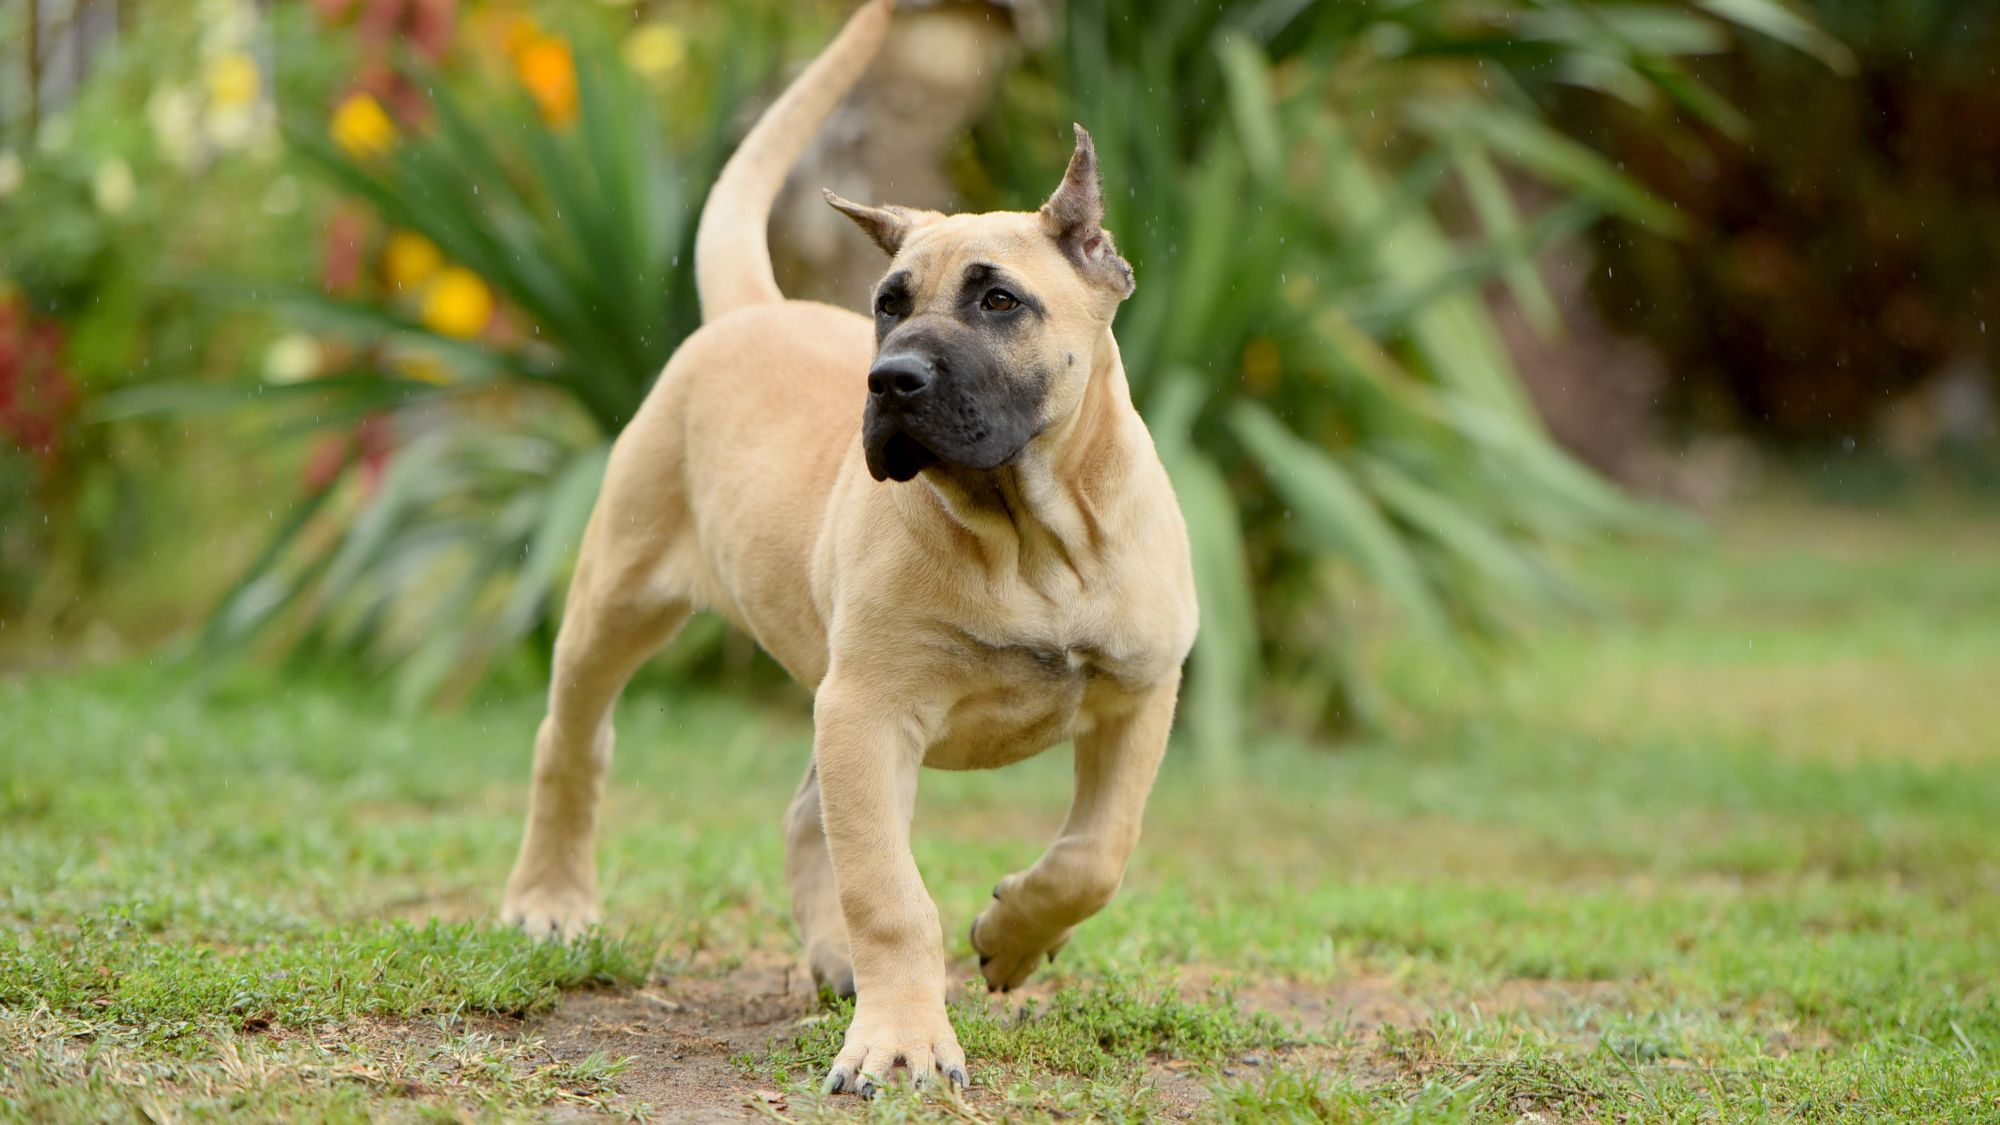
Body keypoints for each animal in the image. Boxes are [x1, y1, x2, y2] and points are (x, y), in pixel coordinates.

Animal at [500, 0, 1192, 1088]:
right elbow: (892, 892)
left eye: (999, 300)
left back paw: (833, 959)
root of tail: (754, 307)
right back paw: (550, 901)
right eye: (888, 304)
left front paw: (1012, 935)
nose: (890, 380)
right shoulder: (871, 710)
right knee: (571, 742)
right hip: (619, 598)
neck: (1027, 533)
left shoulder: (1136, 696)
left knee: (802, 816)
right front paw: (902, 1039)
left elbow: (1095, 854)